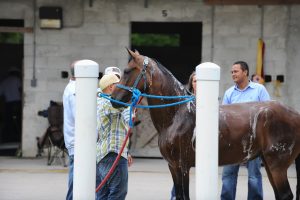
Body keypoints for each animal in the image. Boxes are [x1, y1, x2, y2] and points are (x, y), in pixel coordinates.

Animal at [110, 48, 300, 200]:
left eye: (128, 70)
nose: (113, 100)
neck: (177, 115)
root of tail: (295, 115)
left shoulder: (182, 166)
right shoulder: (173, 166)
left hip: (277, 165)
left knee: (285, 195)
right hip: (268, 163)